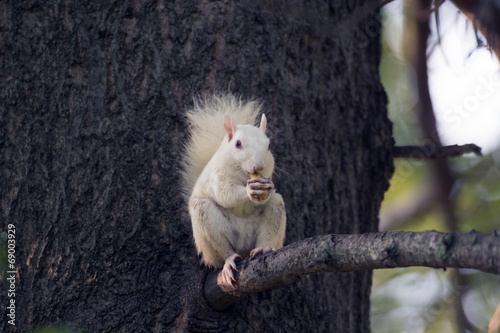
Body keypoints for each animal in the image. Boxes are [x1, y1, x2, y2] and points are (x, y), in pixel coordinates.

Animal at [183, 94, 286, 286]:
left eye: (268, 145)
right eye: (238, 144)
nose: (259, 166)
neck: (244, 175)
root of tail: (244, 249)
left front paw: (268, 187)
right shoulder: (218, 176)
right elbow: (225, 194)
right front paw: (248, 191)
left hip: (275, 213)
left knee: (267, 231)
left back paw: (262, 249)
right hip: (208, 226)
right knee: (224, 252)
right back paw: (229, 261)